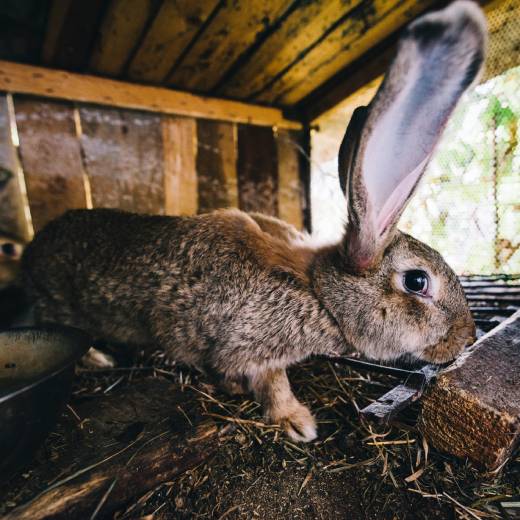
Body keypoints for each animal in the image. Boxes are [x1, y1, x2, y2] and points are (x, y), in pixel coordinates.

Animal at [20, 1, 484, 442]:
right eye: (417, 282)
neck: (318, 292)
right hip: (55, 302)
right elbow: (271, 381)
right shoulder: (247, 346)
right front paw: (296, 422)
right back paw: (97, 358)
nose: (467, 337)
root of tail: (33, 247)